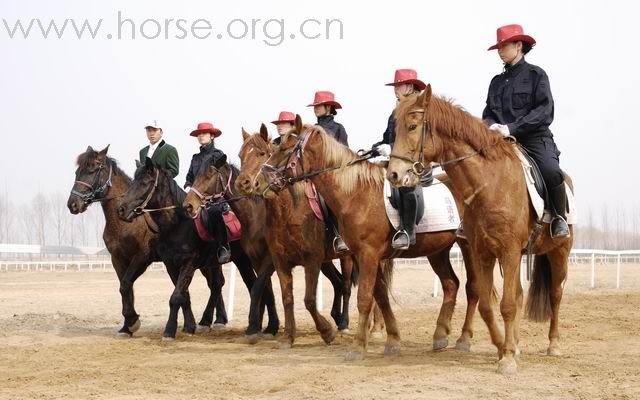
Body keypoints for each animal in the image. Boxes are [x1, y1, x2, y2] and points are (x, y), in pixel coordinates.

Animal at [67, 145, 228, 336]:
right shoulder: (118, 259)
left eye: (92, 170)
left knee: (216, 284)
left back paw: (217, 320)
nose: (73, 204)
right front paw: (127, 326)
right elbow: (125, 288)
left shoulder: (142, 257)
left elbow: (126, 284)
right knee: (213, 284)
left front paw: (133, 321)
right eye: (77, 172)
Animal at [116, 158, 278, 340]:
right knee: (249, 286)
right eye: (133, 182)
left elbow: (176, 296)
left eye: (144, 183)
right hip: (241, 260)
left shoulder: (189, 262)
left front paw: (169, 331)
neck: (178, 224)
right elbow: (183, 295)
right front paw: (189, 326)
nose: (121, 210)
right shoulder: (171, 265)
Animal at [252, 115, 478, 360]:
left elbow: (364, 298)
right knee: (451, 284)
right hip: (437, 251)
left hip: (469, 247)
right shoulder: (362, 256)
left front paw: (358, 347)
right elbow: (380, 296)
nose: (258, 182)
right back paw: (440, 335)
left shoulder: (366, 254)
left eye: (284, 148)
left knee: (472, 289)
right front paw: (393, 341)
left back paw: (464, 339)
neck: (356, 194)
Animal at [384, 84, 576, 376]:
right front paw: (503, 348)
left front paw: (507, 359)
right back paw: (516, 344)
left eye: (413, 126)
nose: (394, 175)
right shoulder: (483, 251)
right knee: (519, 295)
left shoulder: (508, 251)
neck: (489, 183)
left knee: (555, 294)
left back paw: (553, 345)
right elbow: (487, 304)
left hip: (559, 252)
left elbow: (507, 305)